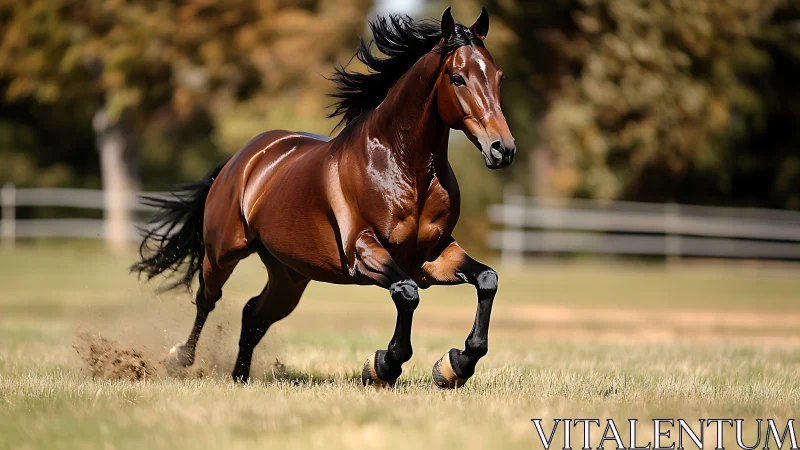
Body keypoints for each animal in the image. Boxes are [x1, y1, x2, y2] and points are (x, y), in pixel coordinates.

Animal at [132, 7, 515, 389]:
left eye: (498, 77)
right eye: (458, 78)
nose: (502, 149)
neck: (403, 166)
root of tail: (244, 157)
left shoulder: (433, 256)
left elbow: (487, 280)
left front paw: (455, 365)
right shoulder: (364, 250)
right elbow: (406, 294)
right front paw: (383, 366)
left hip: (289, 276)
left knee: (253, 315)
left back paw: (240, 377)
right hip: (222, 253)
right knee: (207, 300)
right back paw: (180, 359)